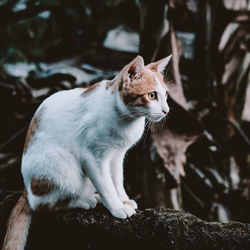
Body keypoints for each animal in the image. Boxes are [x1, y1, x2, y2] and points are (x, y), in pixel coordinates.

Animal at [1, 55, 171, 250]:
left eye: (166, 95)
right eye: (152, 95)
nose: (166, 110)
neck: (127, 118)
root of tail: (26, 190)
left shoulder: (117, 156)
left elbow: (116, 180)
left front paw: (123, 199)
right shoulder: (93, 157)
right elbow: (106, 185)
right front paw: (117, 207)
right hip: (61, 166)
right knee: (42, 204)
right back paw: (84, 200)